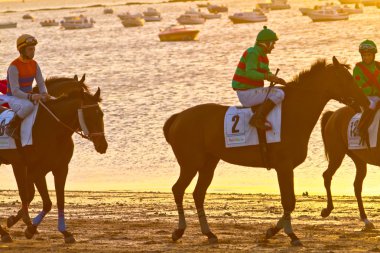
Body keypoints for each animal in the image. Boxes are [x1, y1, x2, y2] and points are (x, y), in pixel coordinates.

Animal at [5, 76, 107, 243]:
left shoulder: (60, 169)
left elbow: (58, 200)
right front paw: (30, 228)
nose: (103, 145)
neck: (53, 130)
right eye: (89, 114)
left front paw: (65, 232)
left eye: (101, 114)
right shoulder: (34, 170)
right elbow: (45, 202)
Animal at [163, 56, 368, 245]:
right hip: (190, 163)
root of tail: (178, 117)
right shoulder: (284, 166)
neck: (293, 113)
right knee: (178, 189)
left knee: (198, 194)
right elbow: (289, 201)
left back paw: (209, 233)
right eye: (347, 78)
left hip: (208, 163)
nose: (364, 100)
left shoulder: (286, 168)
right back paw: (179, 231)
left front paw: (273, 231)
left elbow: (289, 201)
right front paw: (291, 235)